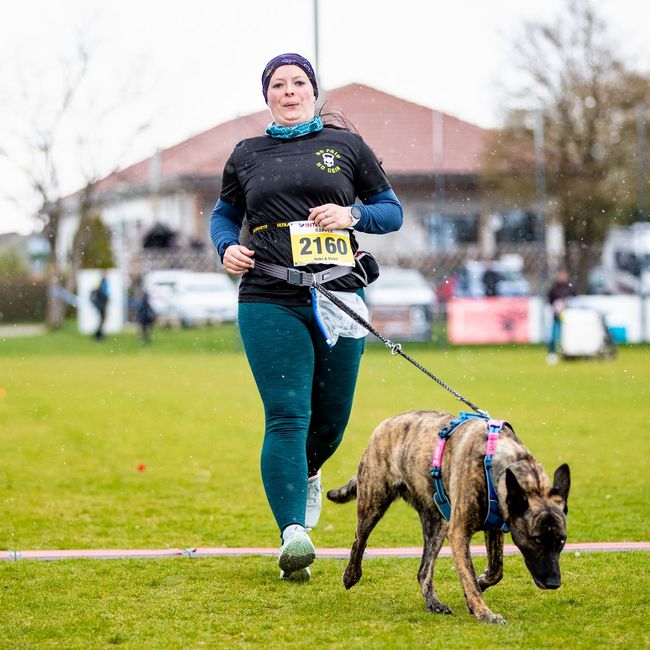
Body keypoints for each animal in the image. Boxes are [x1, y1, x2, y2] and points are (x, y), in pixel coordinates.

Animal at [326, 410, 568, 624]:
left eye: (562, 541)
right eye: (536, 539)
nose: (554, 583)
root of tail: (385, 423)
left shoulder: (495, 527)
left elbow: (496, 570)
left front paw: (480, 585)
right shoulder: (459, 533)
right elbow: (468, 574)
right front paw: (484, 612)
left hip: (437, 523)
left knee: (424, 571)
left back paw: (434, 604)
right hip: (373, 502)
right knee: (359, 539)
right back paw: (351, 574)